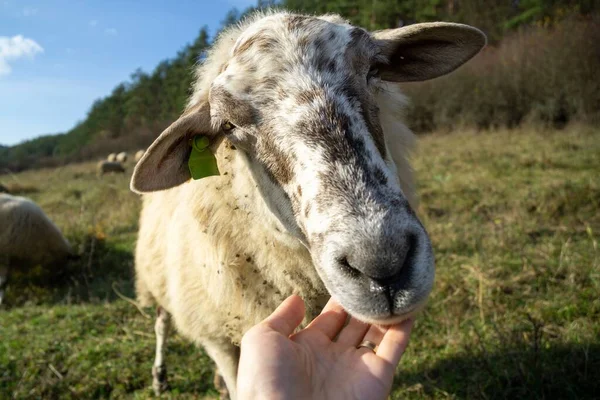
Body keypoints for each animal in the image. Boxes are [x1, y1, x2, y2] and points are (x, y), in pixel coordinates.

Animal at [129, 10, 486, 398]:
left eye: (374, 70)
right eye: (228, 125)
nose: (383, 264)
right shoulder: (215, 336)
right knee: (162, 323)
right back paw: (160, 376)